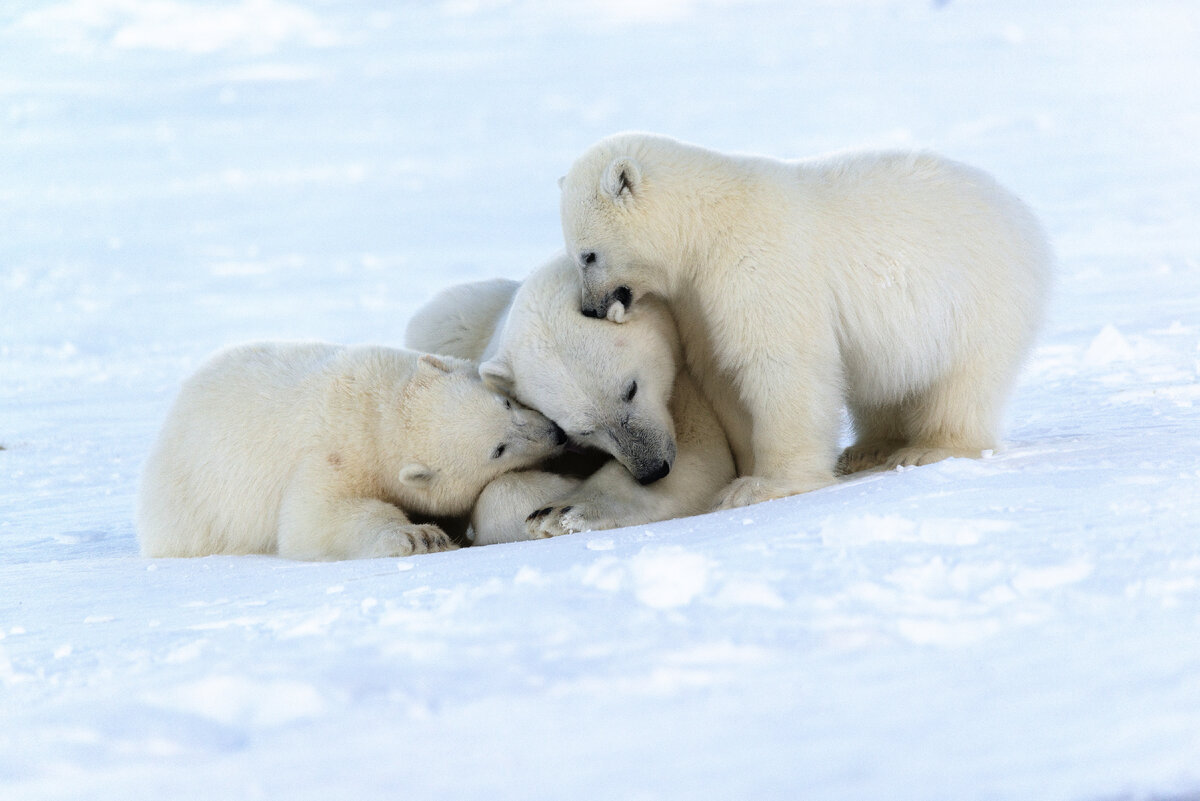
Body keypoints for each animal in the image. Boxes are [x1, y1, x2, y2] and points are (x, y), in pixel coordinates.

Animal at [138, 340, 568, 561]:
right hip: (194, 510)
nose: (555, 434)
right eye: (498, 449)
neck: (380, 410)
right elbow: (313, 519)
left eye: (506, 404)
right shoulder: (334, 455)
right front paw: (420, 537)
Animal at [559, 130, 1051, 506]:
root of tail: (1022, 213)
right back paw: (868, 449)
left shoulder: (756, 264)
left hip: (977, 297)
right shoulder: (697, 300)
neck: (706, 224)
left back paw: (928, 449)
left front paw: (761, 486)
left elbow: (779, 363)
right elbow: (722, 376)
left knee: (962, 381)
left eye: (588, 254)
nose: (590, 309)